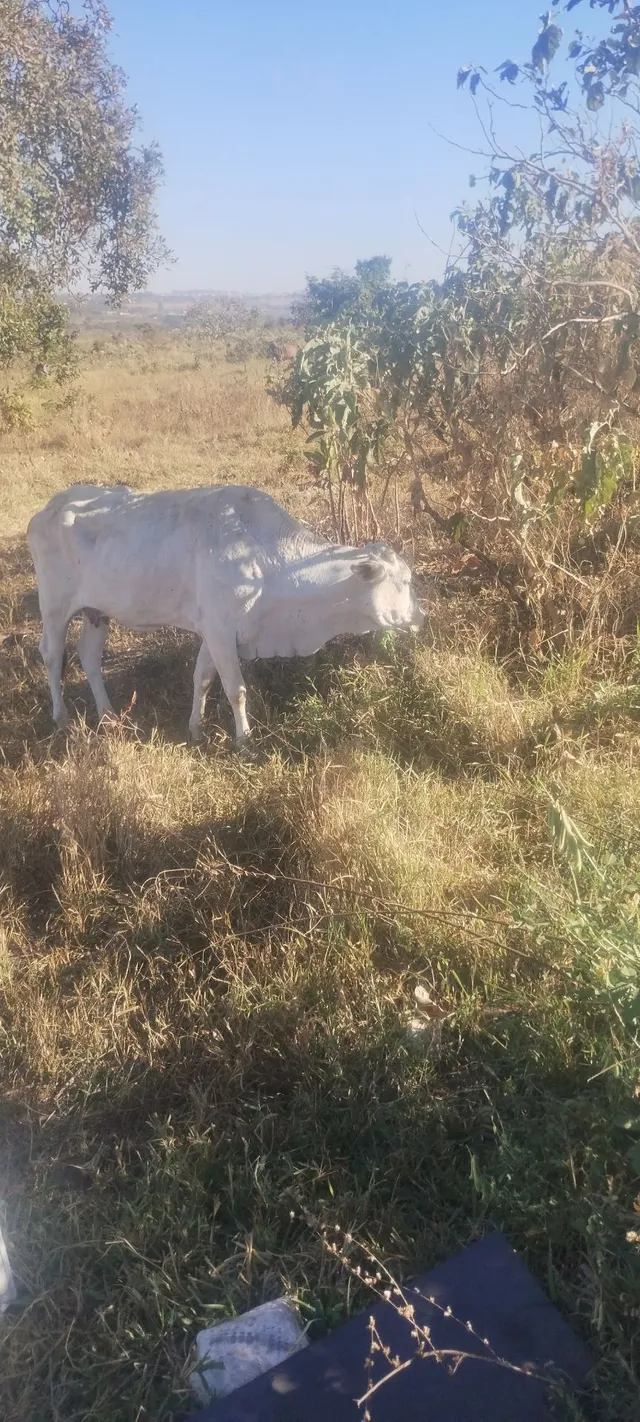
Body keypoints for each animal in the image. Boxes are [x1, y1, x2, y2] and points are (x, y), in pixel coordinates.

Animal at [27, 483, 424, 743]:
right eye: (404, 581)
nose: (421, 615)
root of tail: (47, 509)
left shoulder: (215, 632)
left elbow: (202, 678)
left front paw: (196, 729)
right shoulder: (220, 630)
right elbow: (236, 689)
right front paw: (244, 739)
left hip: (97, 612)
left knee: (89, 656)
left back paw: (108, 715)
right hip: (55, 605)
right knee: (52, 654)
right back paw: (61, 718)